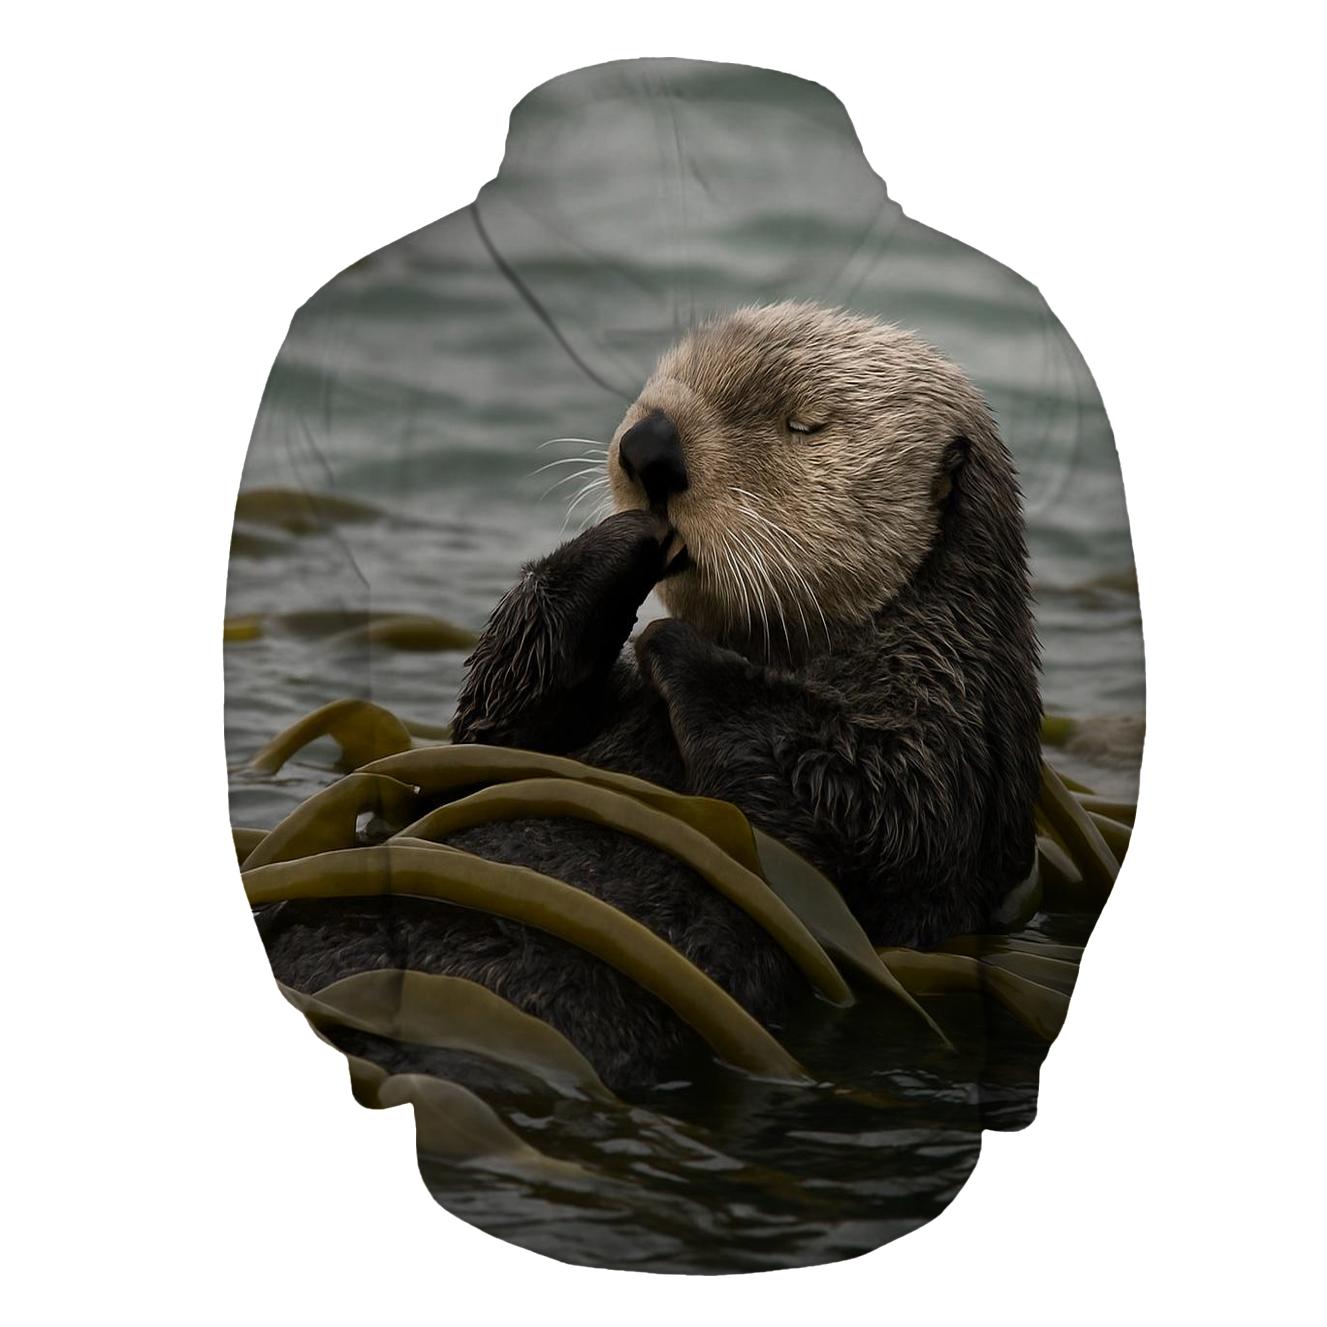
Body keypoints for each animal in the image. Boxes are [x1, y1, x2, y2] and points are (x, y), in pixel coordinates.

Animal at [263, 302, 1042, 1088]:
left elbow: (877, 809)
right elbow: (492, 724)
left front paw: (672, 642)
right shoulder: (520, 729)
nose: (650, 448)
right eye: (668, 374)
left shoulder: (948, 728)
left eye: (803, 424)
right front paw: (624, 541)